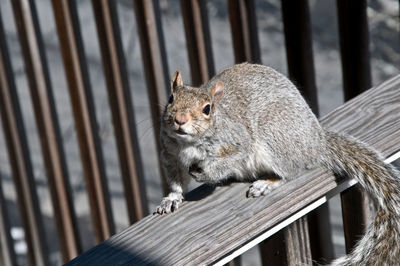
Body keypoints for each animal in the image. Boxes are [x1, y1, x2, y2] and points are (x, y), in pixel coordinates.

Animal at [155, 63, 398, 264]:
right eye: (171, 98)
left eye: (207, 109)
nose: (180, 120)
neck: (187, 143)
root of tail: (317, 143)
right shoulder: (170, 154)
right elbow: (176, 181)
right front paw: (172, 198)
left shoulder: (237, 143)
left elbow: (228, 161)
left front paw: (205, 172)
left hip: (275, 136)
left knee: (289, 173)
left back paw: (267, 183)